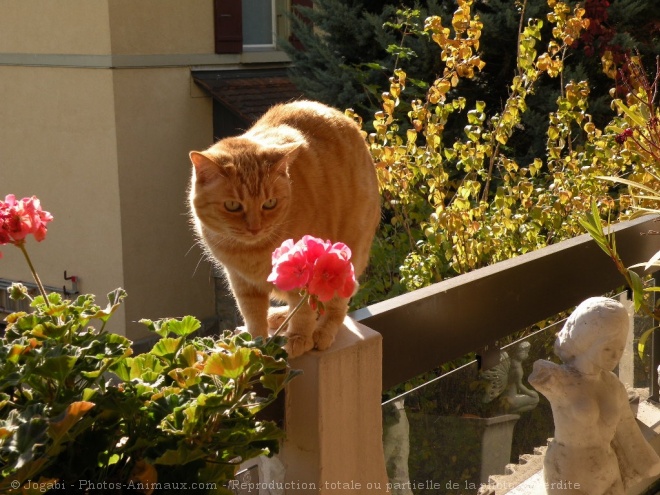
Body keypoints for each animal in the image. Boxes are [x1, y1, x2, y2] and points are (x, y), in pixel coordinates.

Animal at [188, 100, 378, 356]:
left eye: (269, 203)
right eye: (232, 206)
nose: (255, 228)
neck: (253, 252)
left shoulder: (307, 270)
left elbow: (304, 310)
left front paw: (298, 338)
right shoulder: (241, 282)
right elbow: (253, 314)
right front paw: (256, 345)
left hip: (348, 256)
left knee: (336, 306)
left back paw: (322, 331)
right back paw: (279, 316)